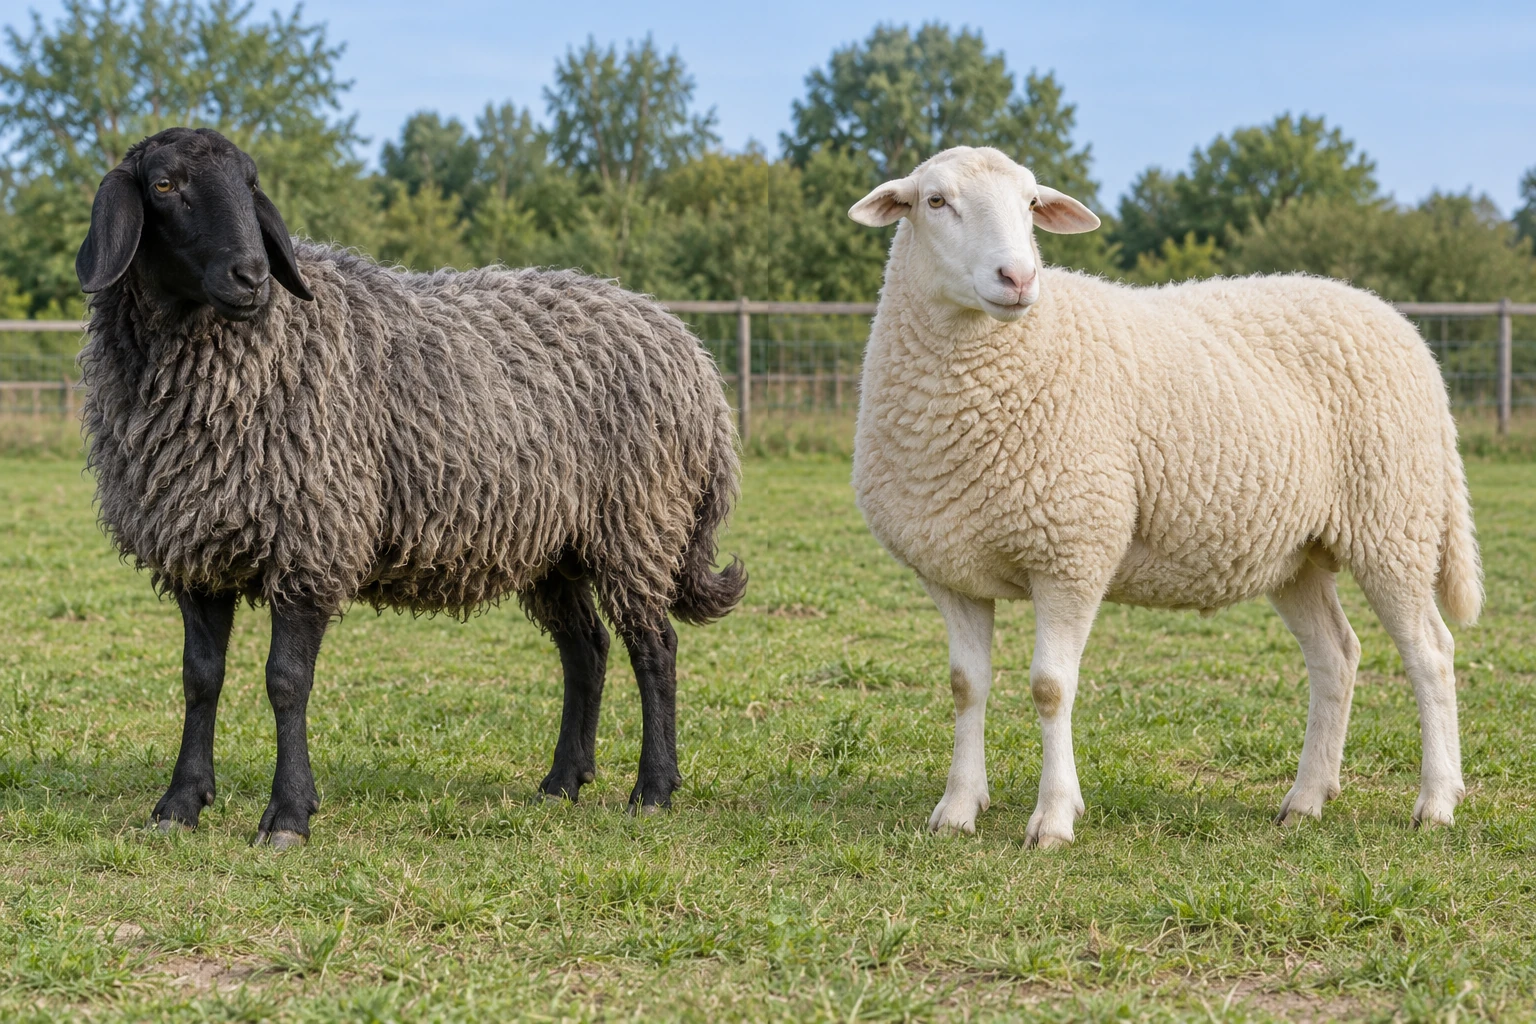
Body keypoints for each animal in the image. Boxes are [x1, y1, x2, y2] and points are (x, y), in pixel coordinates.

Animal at [74, 127, 745, 848]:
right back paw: (562, 782)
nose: (251, 275)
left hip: (638, 520)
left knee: (655, 649)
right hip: (556, 543)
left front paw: (288, 816)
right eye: (164, 184)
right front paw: (179, 804)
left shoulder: (312, 538)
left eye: (251, 184)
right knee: (586, 650)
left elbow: (286, 682)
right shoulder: (196, 549)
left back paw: (652, 790)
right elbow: (200, 679)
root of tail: (688, 348)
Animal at [847, 145, 1482, 849]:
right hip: (1298, 552)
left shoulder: (1074, 551)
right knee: (1336, 658)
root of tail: (1401, 324)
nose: (1018, 277)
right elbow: (966, 687)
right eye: (935, 201)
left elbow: (1050, 688)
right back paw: (1306, 799)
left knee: (1431, 655)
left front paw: (1053, 818)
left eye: (1032, 203)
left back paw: (1437, 801)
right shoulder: (951, 568)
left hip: (1393, 520)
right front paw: (958, 808)